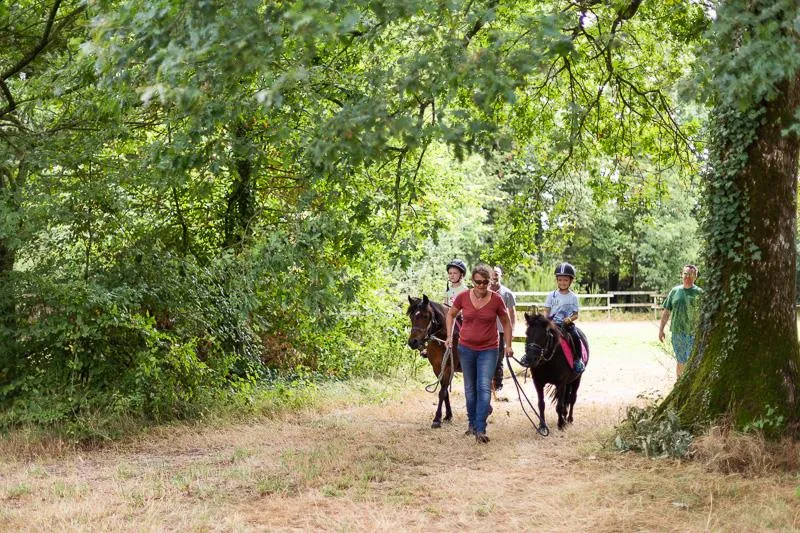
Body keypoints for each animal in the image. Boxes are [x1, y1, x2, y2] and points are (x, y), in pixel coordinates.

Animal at [406, 294, 462, 426]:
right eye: (411, 316)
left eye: (425, 316)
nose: (413, 342)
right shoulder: (437, 368)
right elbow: (444, 392)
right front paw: (448, 415)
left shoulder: (448, 367)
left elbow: (442, 392)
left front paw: (437, 419)